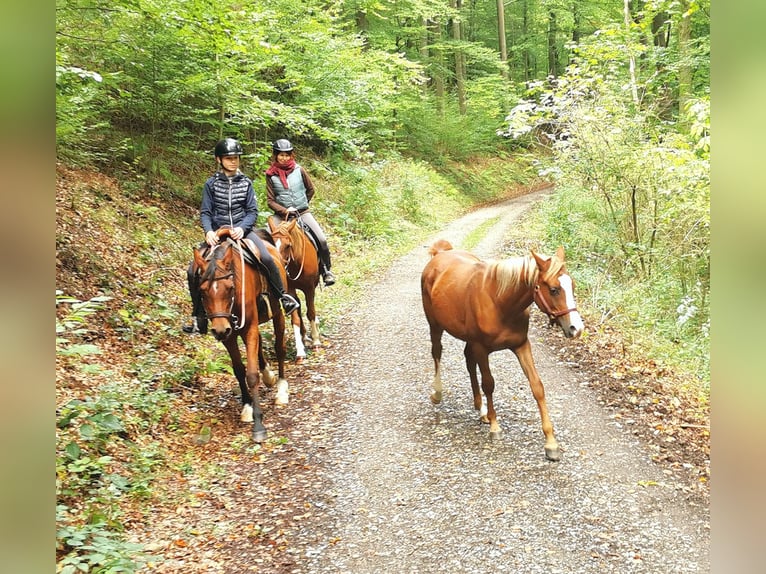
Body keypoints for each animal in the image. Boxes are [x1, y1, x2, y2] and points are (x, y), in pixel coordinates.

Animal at [194, 230, 292, 446]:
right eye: (202, 291)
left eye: (230, 287)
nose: (219, 329)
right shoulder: (229, 336)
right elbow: (239, 370)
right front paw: (247, 407)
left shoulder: (249, 328)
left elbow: (252, 375)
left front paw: (259, 426)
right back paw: (269, 375)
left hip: (278, 312)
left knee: (279, 347)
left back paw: (281, 389)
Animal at [268, 217, 322, 364]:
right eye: (271, 243)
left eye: (288, 245)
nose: (276, 266)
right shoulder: (290, 290)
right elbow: (295, 319)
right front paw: (300, 352)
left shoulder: (309, 288)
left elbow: (311, 313)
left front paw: (316, 342)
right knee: (297, 306)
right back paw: (304, 337)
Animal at [424, 240, 584, 464]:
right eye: (554, 290)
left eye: (572, 287)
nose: (576, 328)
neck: (500, 302)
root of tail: (440, 253)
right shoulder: (481, 348)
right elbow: (489, 384)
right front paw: (495, 427)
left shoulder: (522, 345)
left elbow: (537, 386)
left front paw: (551, 443)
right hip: (435, 326)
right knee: (437, 352)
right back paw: (438, 393)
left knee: (468, 362)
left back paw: (481, 409)